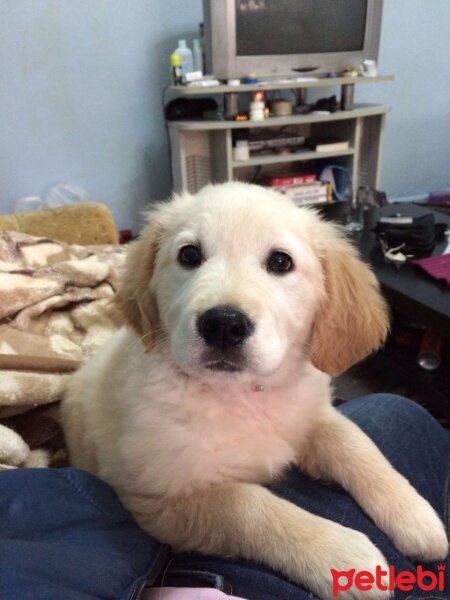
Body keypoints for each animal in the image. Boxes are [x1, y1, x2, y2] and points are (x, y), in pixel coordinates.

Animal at [61, 182, 448, 600]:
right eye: (189, 255)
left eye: (280, 262)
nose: (223, 324)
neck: (243, 394)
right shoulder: (156, 498)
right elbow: (245, 505)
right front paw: (341, 554)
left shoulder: (313, 415)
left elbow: (357, 445)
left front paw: (416, 514)